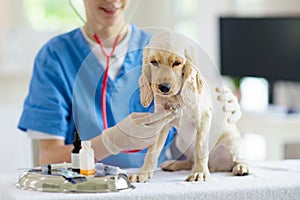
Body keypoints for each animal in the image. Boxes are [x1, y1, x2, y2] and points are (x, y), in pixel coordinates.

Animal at [129, 30, 248, 182]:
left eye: (177, 63)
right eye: (154, 62)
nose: (164, 87)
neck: (177, 98)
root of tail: (216, 166)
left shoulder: (203, 117)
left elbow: (200, 148)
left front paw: (200, 172)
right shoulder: (161, 121)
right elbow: (152, 151)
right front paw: (143, 172)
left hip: (233, 141)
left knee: (240, 158)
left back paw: (241, 167)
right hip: (181, 141)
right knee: (190, 161)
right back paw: (174, 164)